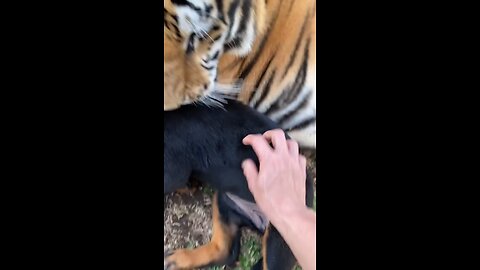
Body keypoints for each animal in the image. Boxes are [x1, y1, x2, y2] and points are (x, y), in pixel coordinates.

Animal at [164, 100, 316, 268]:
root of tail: (258, 222)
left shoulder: (174, 170)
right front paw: (190, 186)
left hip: (281, 238)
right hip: (224, 201)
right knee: (225, 252)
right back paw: (180, 260)